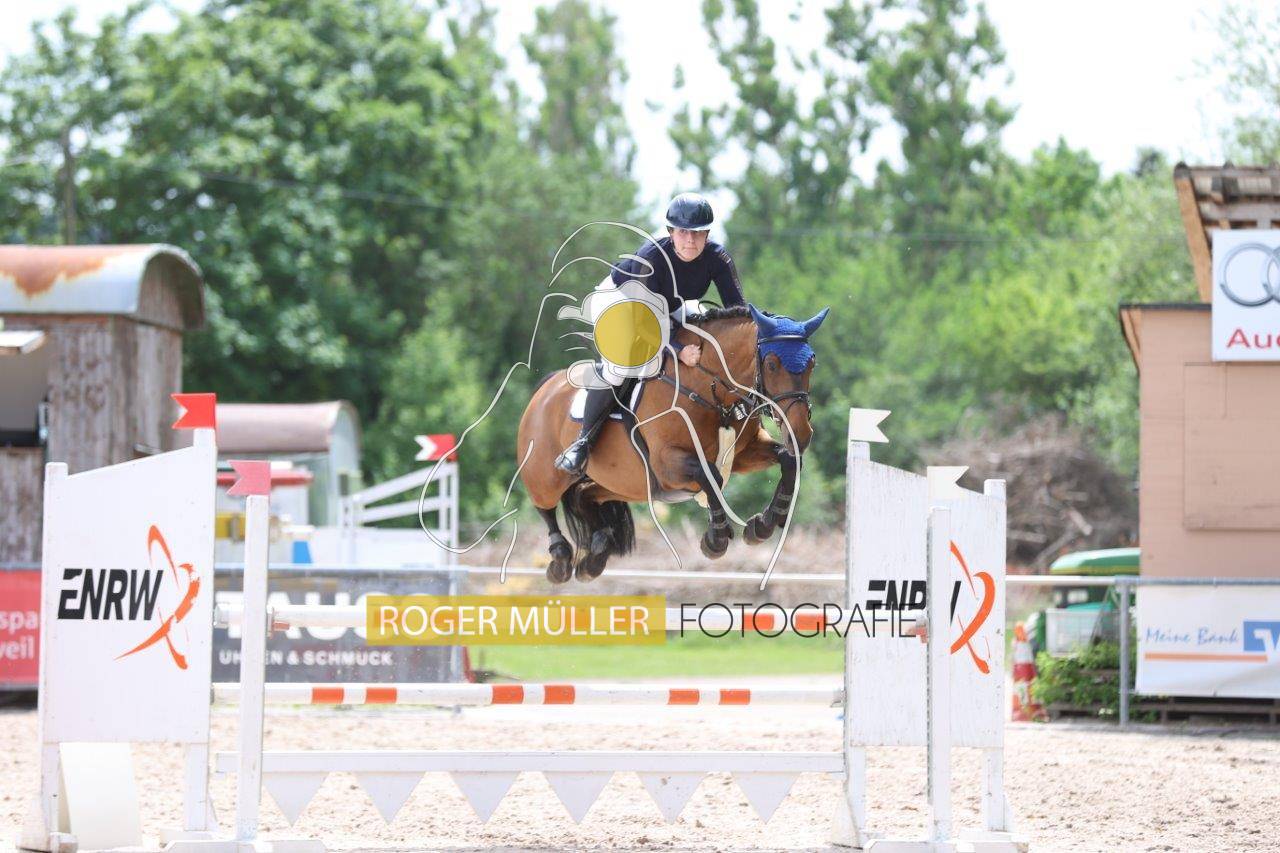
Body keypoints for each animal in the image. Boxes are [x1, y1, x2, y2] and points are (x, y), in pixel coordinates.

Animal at [517, 303, 828, 583]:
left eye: (812, 364)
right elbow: (709, 475)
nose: (801, 433)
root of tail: (547, 386)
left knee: (584, 495)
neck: (710, 391)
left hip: (623, 484)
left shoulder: (744, 453)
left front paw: (763, 524)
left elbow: (788, 460)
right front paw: (715, 539)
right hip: (545, 475)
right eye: (772, 365)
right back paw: (560, 560)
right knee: (544, 504)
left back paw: (595, 555)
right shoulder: (666, 463)